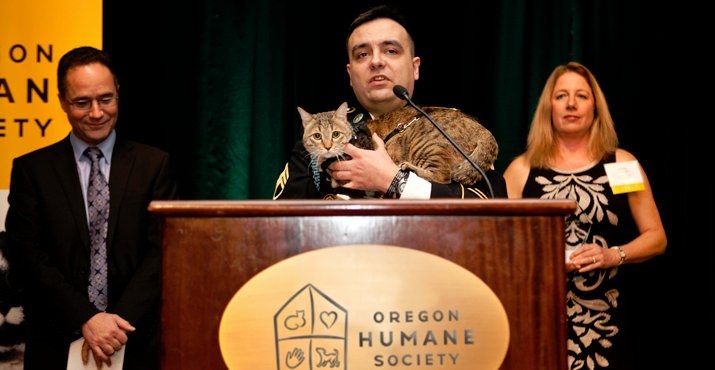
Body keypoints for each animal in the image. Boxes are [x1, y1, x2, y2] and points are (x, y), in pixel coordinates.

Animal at [300, 101, 498, 188]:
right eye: (317, 136)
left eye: (335, 134)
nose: (327, 146)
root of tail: (482, 129)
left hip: (425, 145)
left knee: (442, 177)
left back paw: (409, 167)